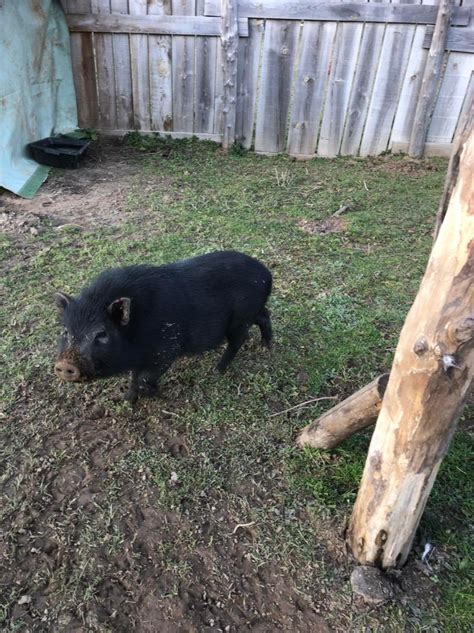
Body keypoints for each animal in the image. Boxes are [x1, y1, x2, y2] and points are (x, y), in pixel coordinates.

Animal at [53, 251, 272, 400]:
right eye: (65, 331)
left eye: (101, 333)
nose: (64, 365)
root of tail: (267, 274)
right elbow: (134, 378)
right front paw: (126, 400)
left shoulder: (166, 350)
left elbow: (143, 379)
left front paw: (156, 395)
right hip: (253, 312)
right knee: (265, 315)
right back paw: (266, 346)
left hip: (241, 318)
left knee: (238, 340)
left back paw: (217, 371)